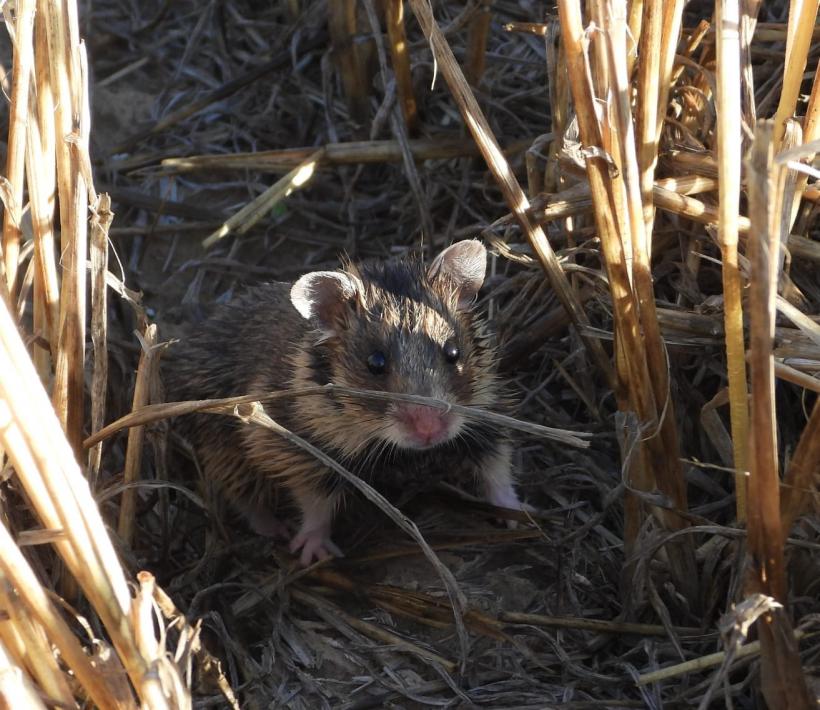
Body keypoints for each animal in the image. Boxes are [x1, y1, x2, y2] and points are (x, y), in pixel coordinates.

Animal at [165, 240, 526, 565]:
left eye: (453, 352)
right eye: (375, 363)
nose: (430, 431)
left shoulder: (486, 414)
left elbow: (497, 470)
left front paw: (519, 513)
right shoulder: (293, 446)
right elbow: (315, 504)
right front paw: (313, 554)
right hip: (220, 443)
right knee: (241, 495)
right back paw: (277, 530)